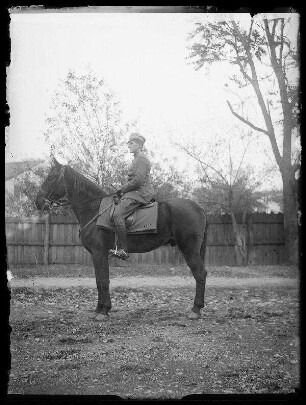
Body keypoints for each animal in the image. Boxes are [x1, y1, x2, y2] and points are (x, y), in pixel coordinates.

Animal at [35, 158, 208, 318]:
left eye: (51, 177)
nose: (38, 202)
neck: (95, 210)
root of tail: (199, 208)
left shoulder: (99, 253)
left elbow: (103, 281)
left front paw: (104, 311)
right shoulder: (98, 255)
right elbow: (99, 280)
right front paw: (99, 309)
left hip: (189, 249)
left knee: (200, 273)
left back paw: (195, 310)